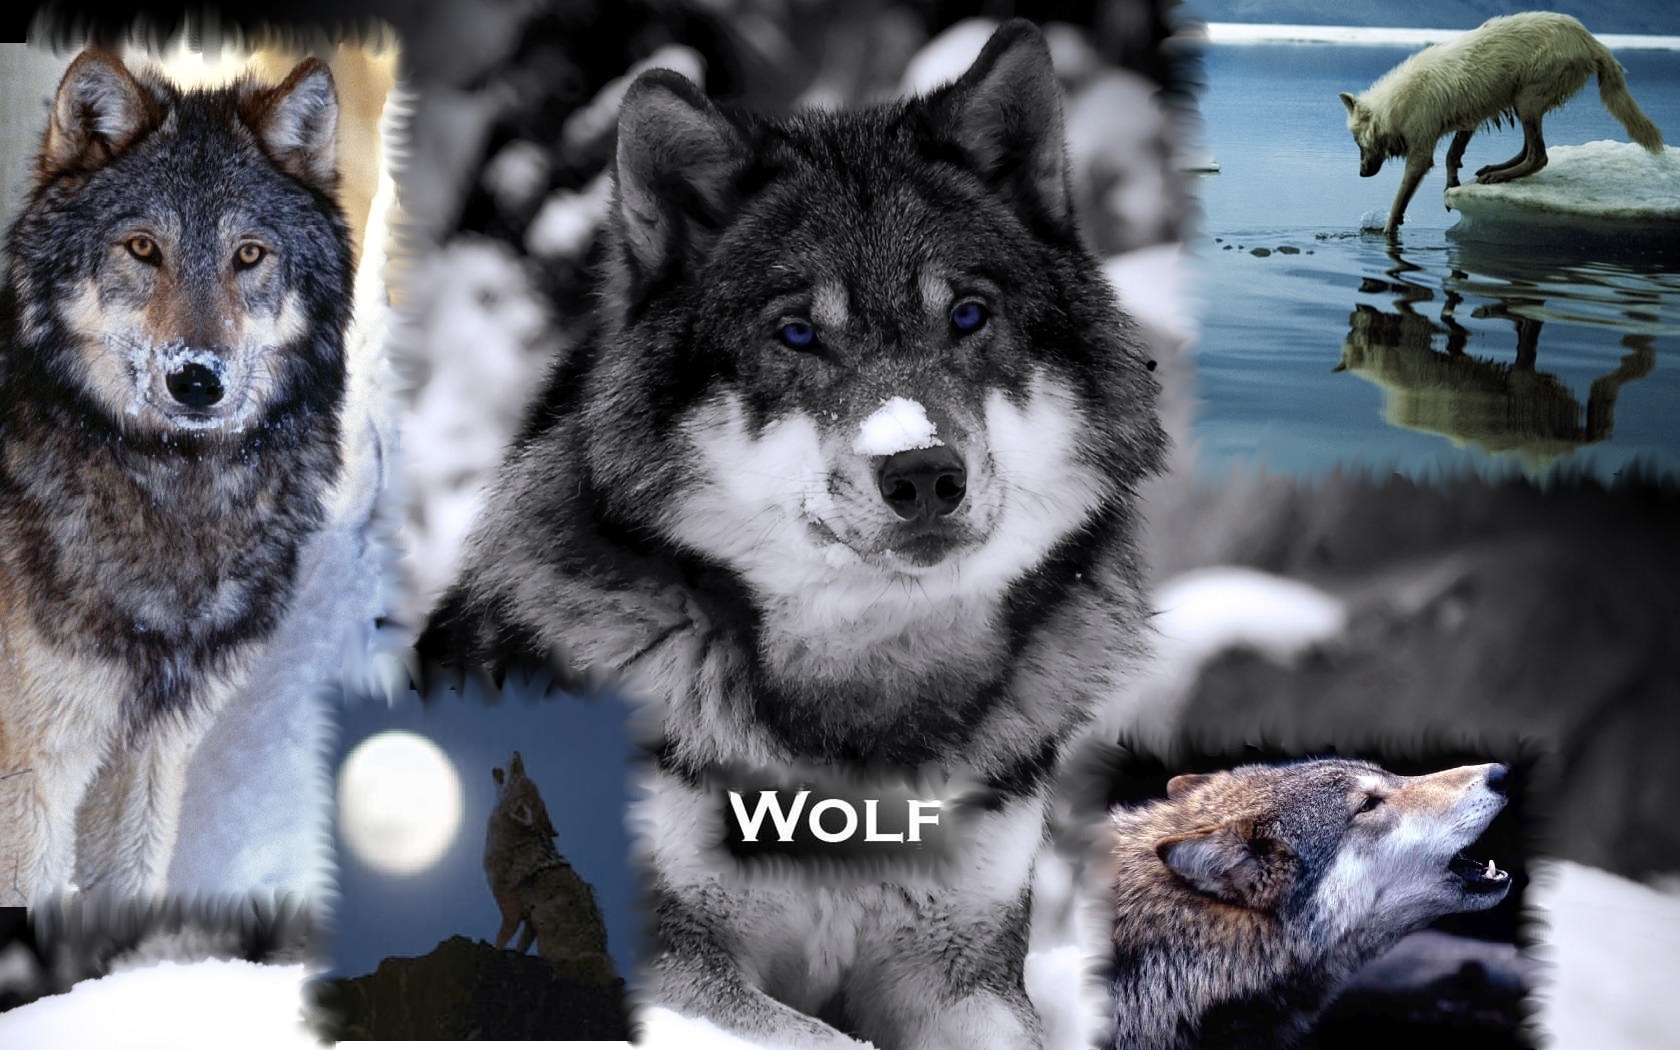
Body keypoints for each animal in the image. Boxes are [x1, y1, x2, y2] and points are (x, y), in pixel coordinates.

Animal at [0, 50, 351, 906]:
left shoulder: (152, 753)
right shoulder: (32, 773)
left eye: (249, 255)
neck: (171, 490)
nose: (197, 380)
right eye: (142, 248)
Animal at [484, 750, 613, 981]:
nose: (517, 753)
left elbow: (500, 940)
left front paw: (496, 951)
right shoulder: (529, 920)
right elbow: (521, 945)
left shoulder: (510, 912)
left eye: (517, 772)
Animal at [1339, 12, 1665, 236]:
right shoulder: (1467, 121)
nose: (1361, 174)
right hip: (1522, 103)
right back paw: (1495, 169)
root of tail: (1591, 39)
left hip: (1526, 100)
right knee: (1529, 149)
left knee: (1539, 156)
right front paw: (1452, 185)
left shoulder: (1421, 152)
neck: (1395, 106)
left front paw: (1388, 231)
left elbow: (1399, 200)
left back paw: (1499, 175)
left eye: (1357, 143)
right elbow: (1452, 156)